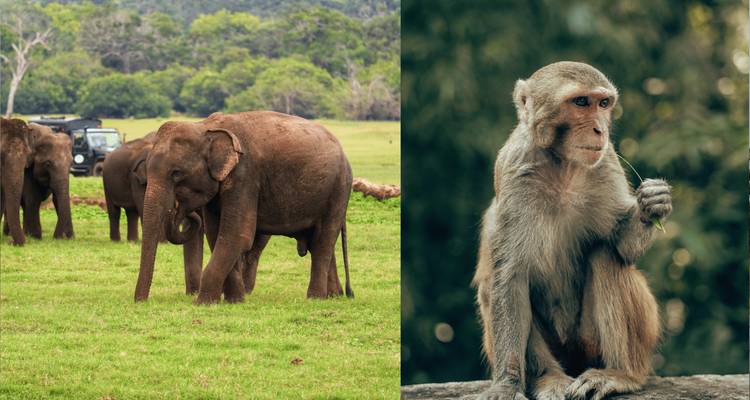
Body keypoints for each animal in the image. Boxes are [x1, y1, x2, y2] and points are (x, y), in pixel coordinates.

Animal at [102, 132, 203, 295]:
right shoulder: (136, 177)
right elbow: (144, 206)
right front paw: (162, 242)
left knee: (131, 213)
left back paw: (133, 241)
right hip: (106, 182)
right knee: (114, 212)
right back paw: (116, 241)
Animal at [134, 111, 353, 304]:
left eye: (176, 174)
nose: (141, 302)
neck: (205, 127)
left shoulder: (245, 175)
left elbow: (236, 235)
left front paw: (203, 302)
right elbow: (216, 235)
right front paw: (235, 300)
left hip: (339, 190)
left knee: (323, 240)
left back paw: (315, 298)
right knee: (319, 242)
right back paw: (333, 295)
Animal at [472, 62, 671, 400]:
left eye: (603, 104)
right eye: (581, 102)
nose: (600, 130)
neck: (562, 164)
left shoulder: (607, 162)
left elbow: (622, 245)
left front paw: (651, 205)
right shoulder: (514, 170)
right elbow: (509, 276)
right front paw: (507, 384)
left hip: (600, 343)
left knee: (605, 256)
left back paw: (621, 374)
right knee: (493, 285)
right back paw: (549, 378)